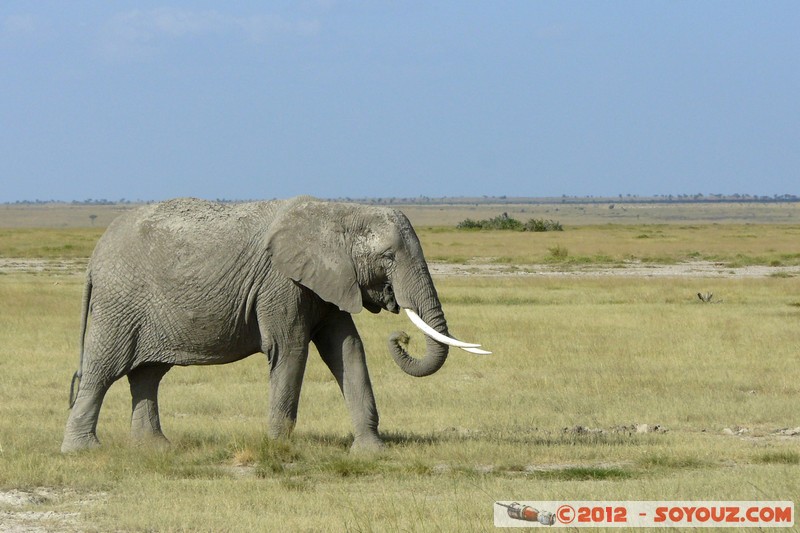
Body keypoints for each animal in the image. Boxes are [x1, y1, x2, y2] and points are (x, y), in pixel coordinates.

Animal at [61, 195, 488, 454]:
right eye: (388, 257)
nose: (400, 335)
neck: (338, 212)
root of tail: (94, 255)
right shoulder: (281, 283)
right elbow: (290, 348)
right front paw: (279, 448)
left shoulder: (328, 281)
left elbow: (347, 349)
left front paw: (370, 451)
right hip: (119, 304)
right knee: (103, 370)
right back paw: (83, 450)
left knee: (147, 374)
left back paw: (156, 449)